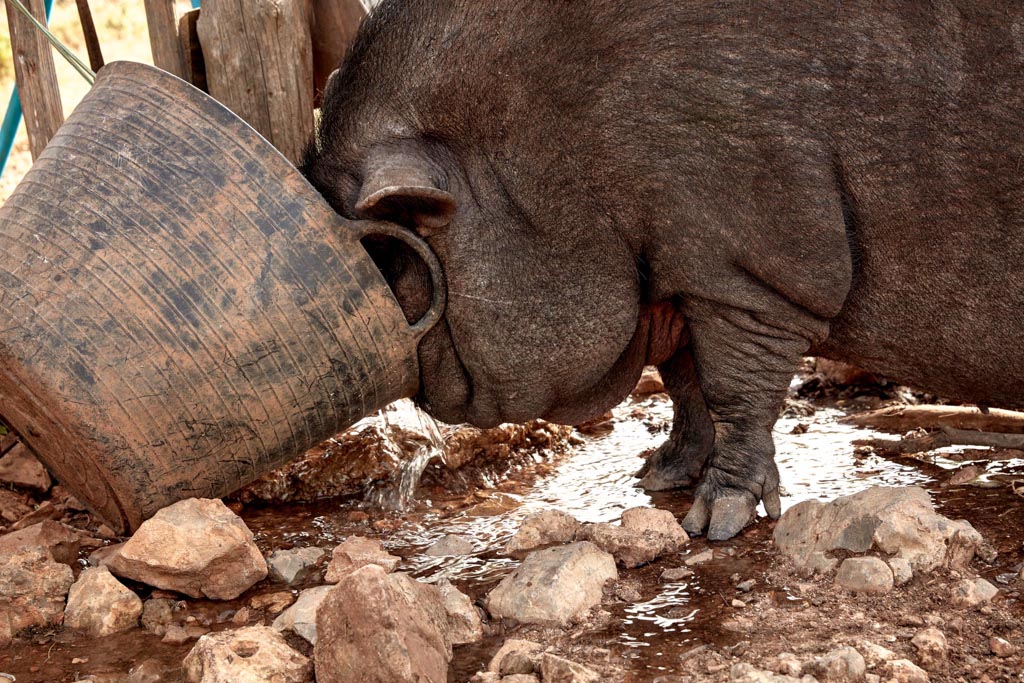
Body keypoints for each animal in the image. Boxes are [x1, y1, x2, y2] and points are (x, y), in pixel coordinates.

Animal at [303, 2, 1024, 540]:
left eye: (389, 256)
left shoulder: (753, 262)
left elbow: (735, 391)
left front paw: (716, 523)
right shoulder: (683, 274)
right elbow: (685, 381)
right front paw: (654, 477)